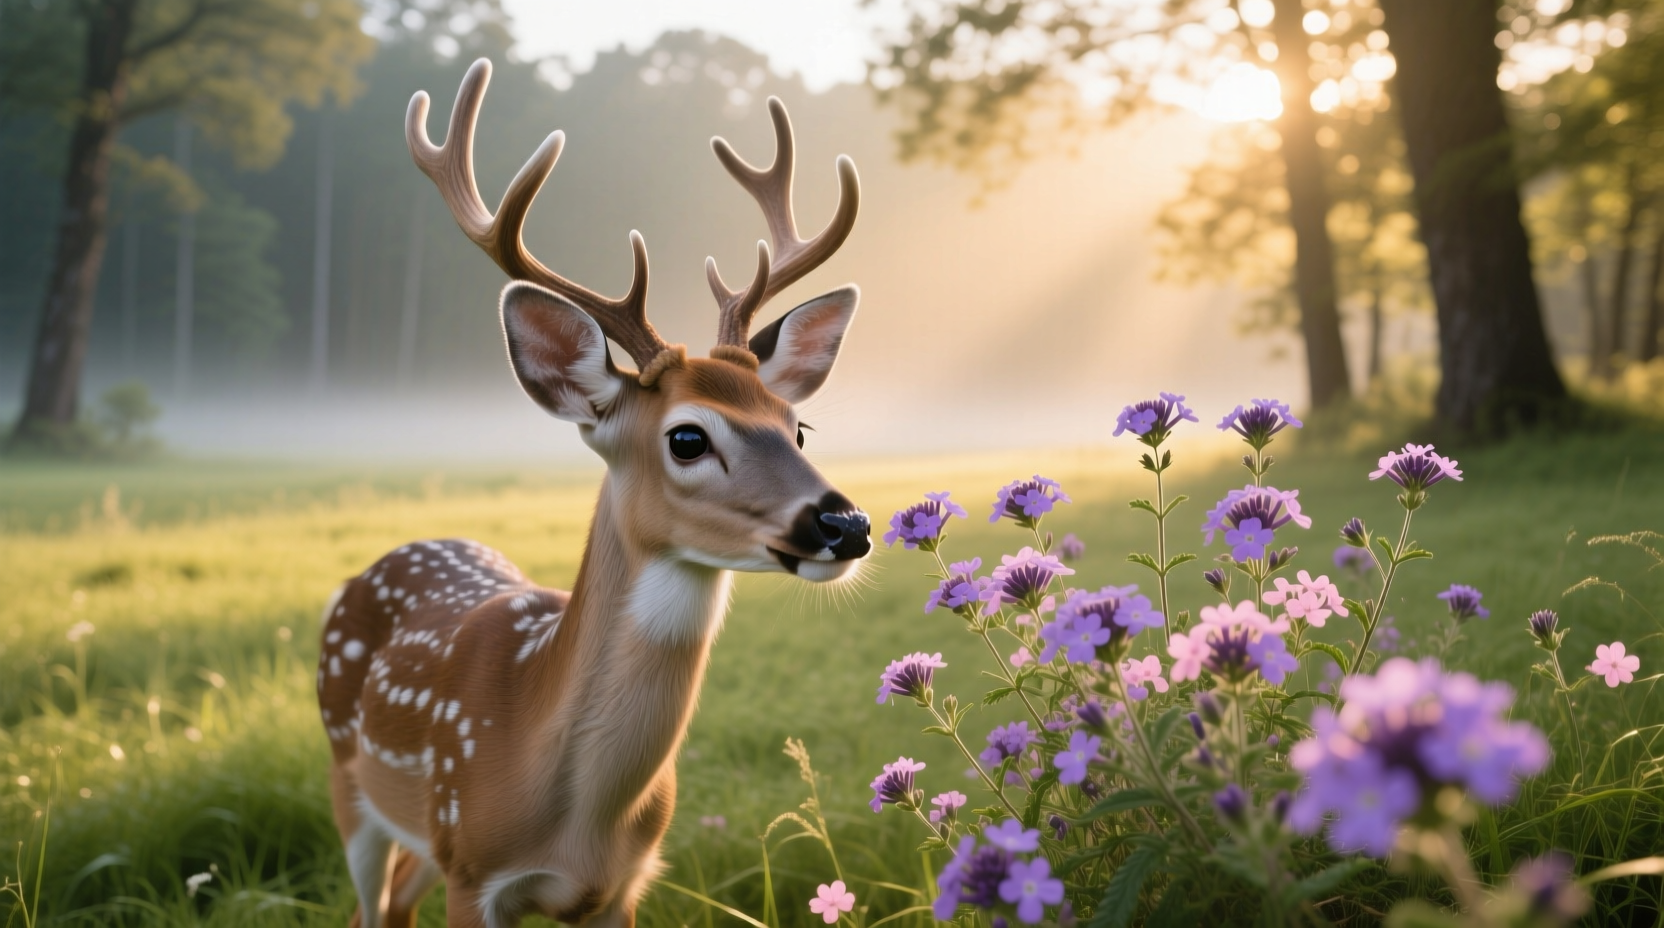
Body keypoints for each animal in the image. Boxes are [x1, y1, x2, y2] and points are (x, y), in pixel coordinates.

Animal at [315, 58, 870, 928]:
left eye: (799, 427)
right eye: (687, 437)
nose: (846, 524)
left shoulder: (624, 883)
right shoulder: (473, 869)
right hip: (355, 781)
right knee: (370, 904)